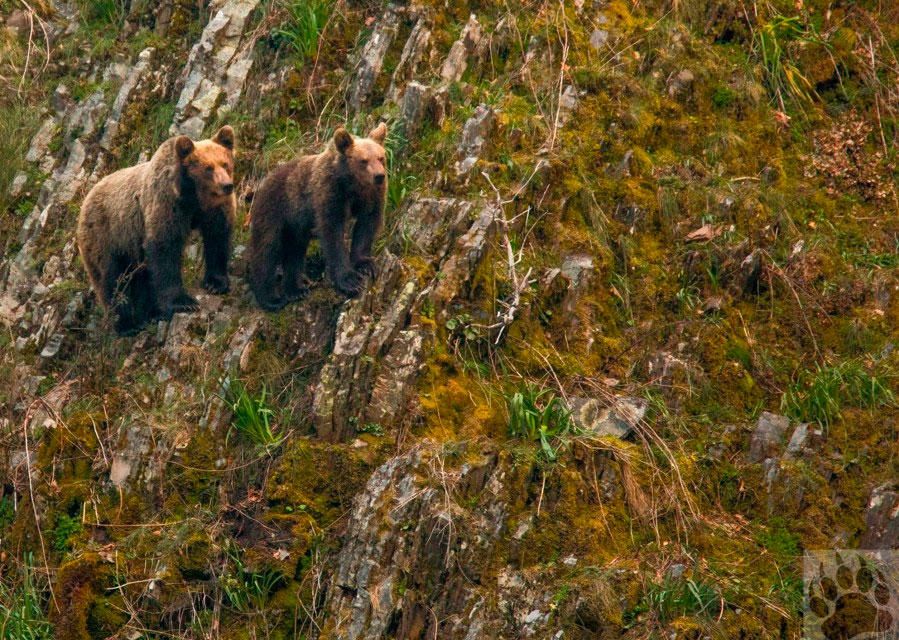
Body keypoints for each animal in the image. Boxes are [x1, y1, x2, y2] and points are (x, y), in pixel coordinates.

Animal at [76, 125, 236, 336]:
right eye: (208, 168)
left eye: (225, 163)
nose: (227, 185)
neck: (193, 197)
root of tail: (85, 199)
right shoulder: (166, 203)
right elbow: (164, 248)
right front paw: (183, 302)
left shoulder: (214, 209)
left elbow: (218, 237)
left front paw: (216, 283)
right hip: (106, 235)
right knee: (112, 279)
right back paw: (126, 324)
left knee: (141, 277)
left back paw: (151, 314)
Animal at [248, 123, 388, 310]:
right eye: (364, 160)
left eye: (381, 157)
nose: (379, 176)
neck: (352, 184)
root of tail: (263, 182)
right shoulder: (329, 193)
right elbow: (332, 234)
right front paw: (349, 281)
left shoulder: (371, 196)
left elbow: (367, 225)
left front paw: (366, 265)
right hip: (275, 210)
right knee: (267, 248)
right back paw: (270, 298)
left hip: (296, 227)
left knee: (294, 252)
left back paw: (296, 290)